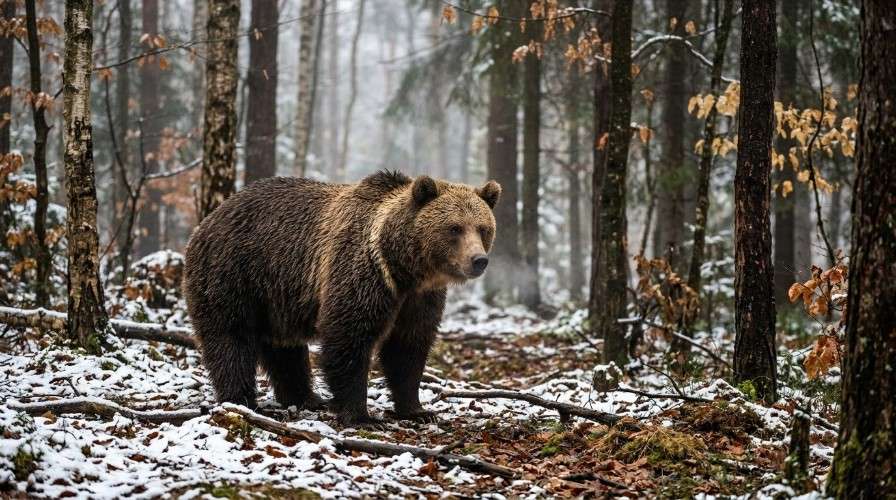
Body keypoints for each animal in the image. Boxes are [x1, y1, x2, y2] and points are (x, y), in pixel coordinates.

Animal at [183, 171, 501, 426]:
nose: (478, 260)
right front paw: (360, 415)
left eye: (483, 228)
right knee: (230, 337)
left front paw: (418, 410)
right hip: (235, 272)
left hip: (277, 296)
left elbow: (408, 347)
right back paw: (242, 400)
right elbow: (349, 336)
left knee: (284, 348)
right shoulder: (362, 274)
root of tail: (208, 219)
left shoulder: (419, 298)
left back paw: (306, 398)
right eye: (454, 228)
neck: (403, 269)